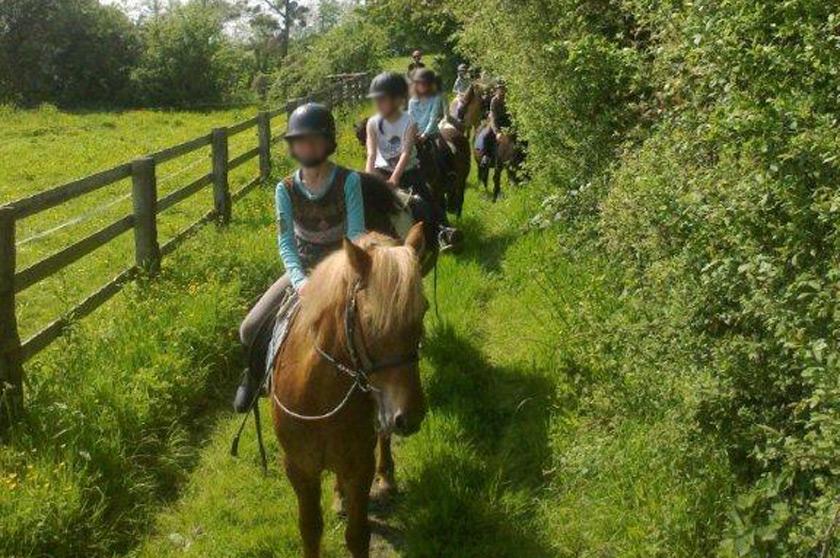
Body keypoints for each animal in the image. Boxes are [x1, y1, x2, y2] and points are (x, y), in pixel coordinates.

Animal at [274, 224, 430, 558]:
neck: (319, 400)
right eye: (370, 320)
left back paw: (386, 479)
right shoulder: (299, 468)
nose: (410, 416)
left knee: (383, 437)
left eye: (423, 310)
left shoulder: (360, 465)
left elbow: (358, 535)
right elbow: (310, 530)